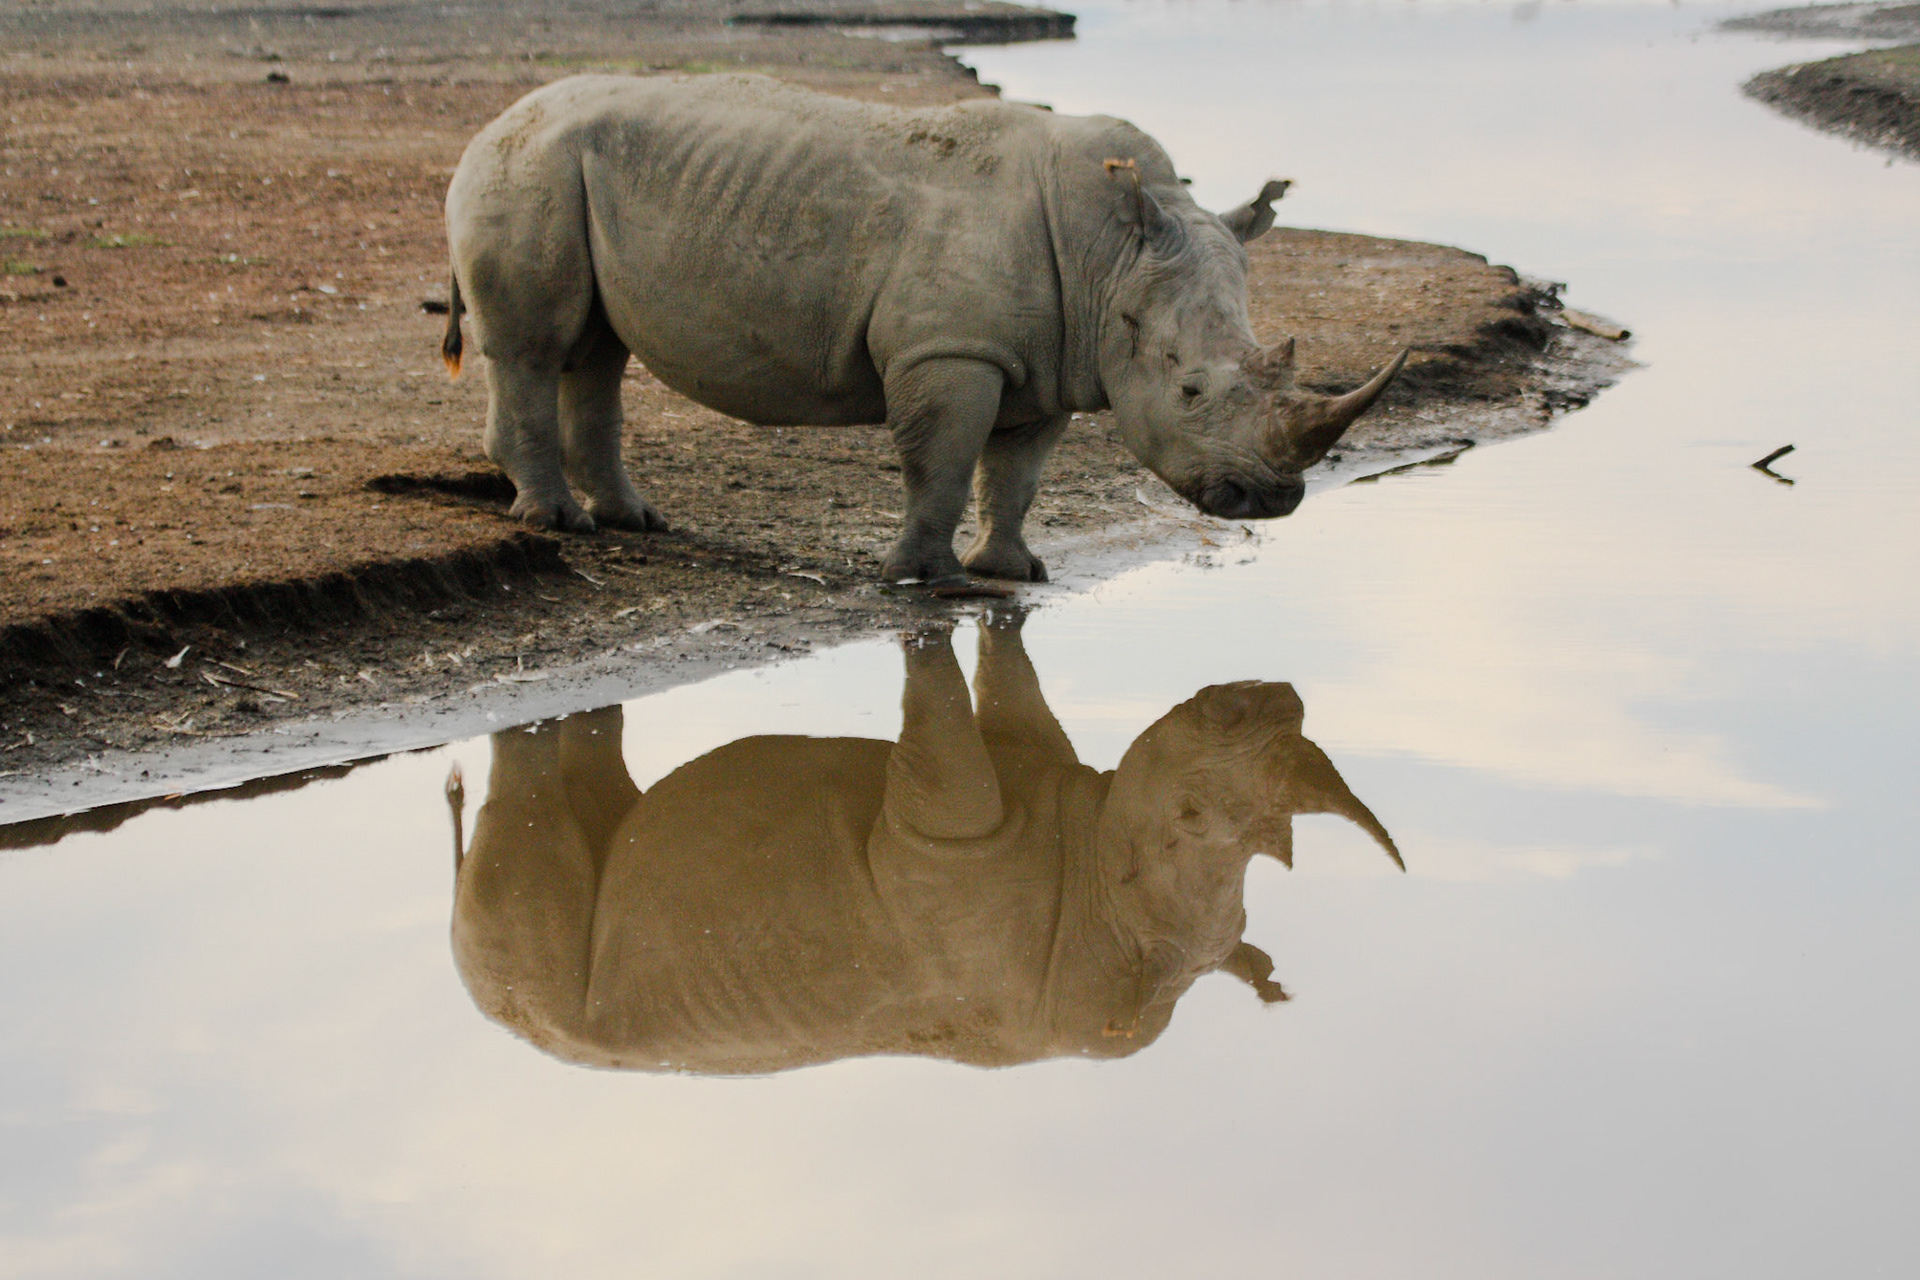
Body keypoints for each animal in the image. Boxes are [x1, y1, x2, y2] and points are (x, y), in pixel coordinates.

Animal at [442, 73, 1407, 583]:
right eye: (1190, 386)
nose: (1271, 500)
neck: (1111, 254)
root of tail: (493, 121)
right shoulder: (949, 350)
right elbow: (938, 459)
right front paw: (921, 577)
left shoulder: (1051, 360)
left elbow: (1016, 472)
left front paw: (1010, 573)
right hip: (528, 169)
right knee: (535, 346)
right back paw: (560, 524)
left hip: (563, 171)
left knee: (599, 351)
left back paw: (635, 522)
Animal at [451, 613, 1402, 1073]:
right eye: (1193, 815)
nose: (1267, 696)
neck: (1113, 905)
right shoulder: (952, 830)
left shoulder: (1031, 786)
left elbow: (1011, 690)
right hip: (525, 980)